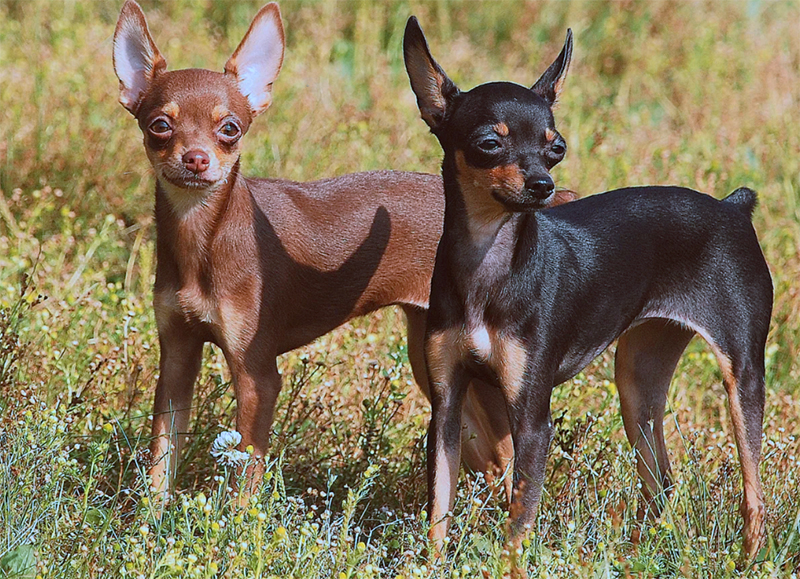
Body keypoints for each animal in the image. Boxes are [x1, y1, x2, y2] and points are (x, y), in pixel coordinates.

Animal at [404, 15, 772, 572]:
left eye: (556, 149)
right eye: (490, 143)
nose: (543, 185)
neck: (490, 264)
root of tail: (732, 208)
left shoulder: (532, 421)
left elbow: (518, 525)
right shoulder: (446, 410)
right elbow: (438, 517)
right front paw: (430, 566)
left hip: (741, 378)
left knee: (754, 496)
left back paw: (747, 561)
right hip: (637, 385)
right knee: (662, 485)